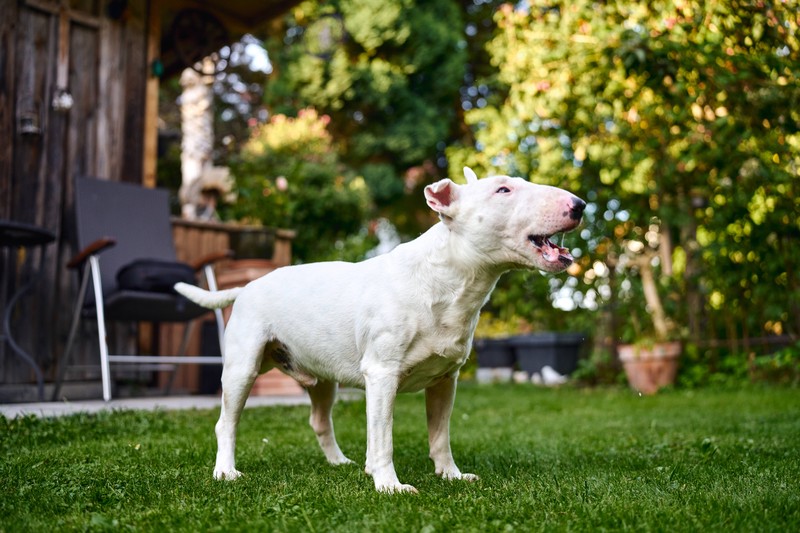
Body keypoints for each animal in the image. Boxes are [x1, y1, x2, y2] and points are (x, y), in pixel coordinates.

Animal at [178, 168, 584, 492]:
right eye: (503, 190)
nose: (579, 205)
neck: (443, 278)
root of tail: (248, 285)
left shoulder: (445, 380)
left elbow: (440, 436)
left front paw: (451, 475)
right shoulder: (382, 374)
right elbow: (383, 437)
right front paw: (389, 485)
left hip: (323, 378)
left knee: (319, 420)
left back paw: (339, 462)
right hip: (242, 369)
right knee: (226, 424)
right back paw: (226, 471)